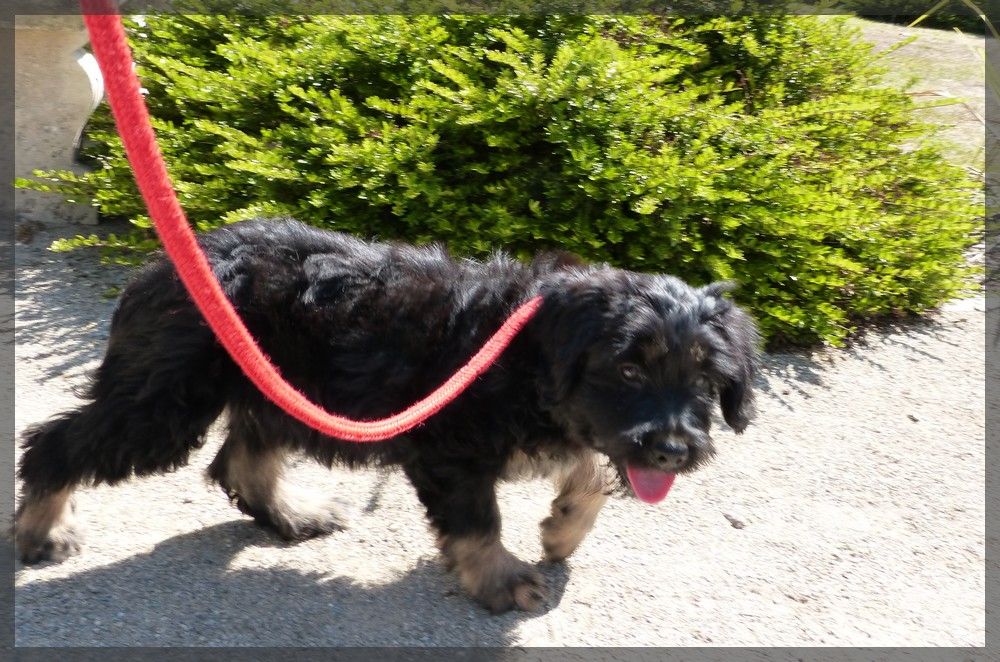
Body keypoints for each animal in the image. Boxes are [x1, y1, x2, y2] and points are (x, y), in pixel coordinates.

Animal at [14, 217, 759, 613]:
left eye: (705, 379)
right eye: (628, 369)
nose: (673, 450)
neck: (523, 347)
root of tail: (169, 260)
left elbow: (591, 467)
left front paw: (563, 529)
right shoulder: (450, 450)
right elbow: (479, 521)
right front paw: (503, 579)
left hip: (284, 392)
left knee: (240, 460)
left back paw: (294, 515)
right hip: (164, 402)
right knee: (54, 443)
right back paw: (43, 529)